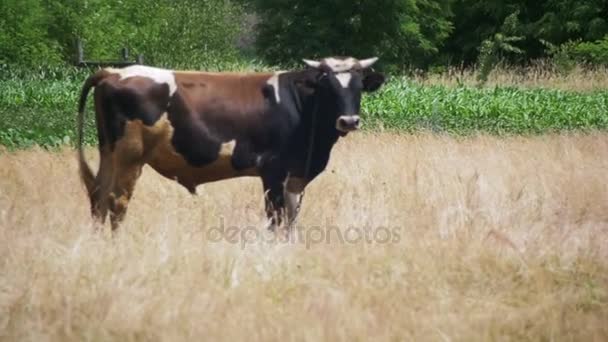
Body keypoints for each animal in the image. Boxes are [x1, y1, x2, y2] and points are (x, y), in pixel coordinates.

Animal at [77, 57, 384, 231]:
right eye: (328, 86)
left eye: (358, 86)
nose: (348, 121)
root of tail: (112, 72)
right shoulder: (273, 172)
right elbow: (276, 219)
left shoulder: (295, 177)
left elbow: (292, 219)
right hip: (130, 156)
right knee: (116, 200)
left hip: (108, 152)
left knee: (98, 196)